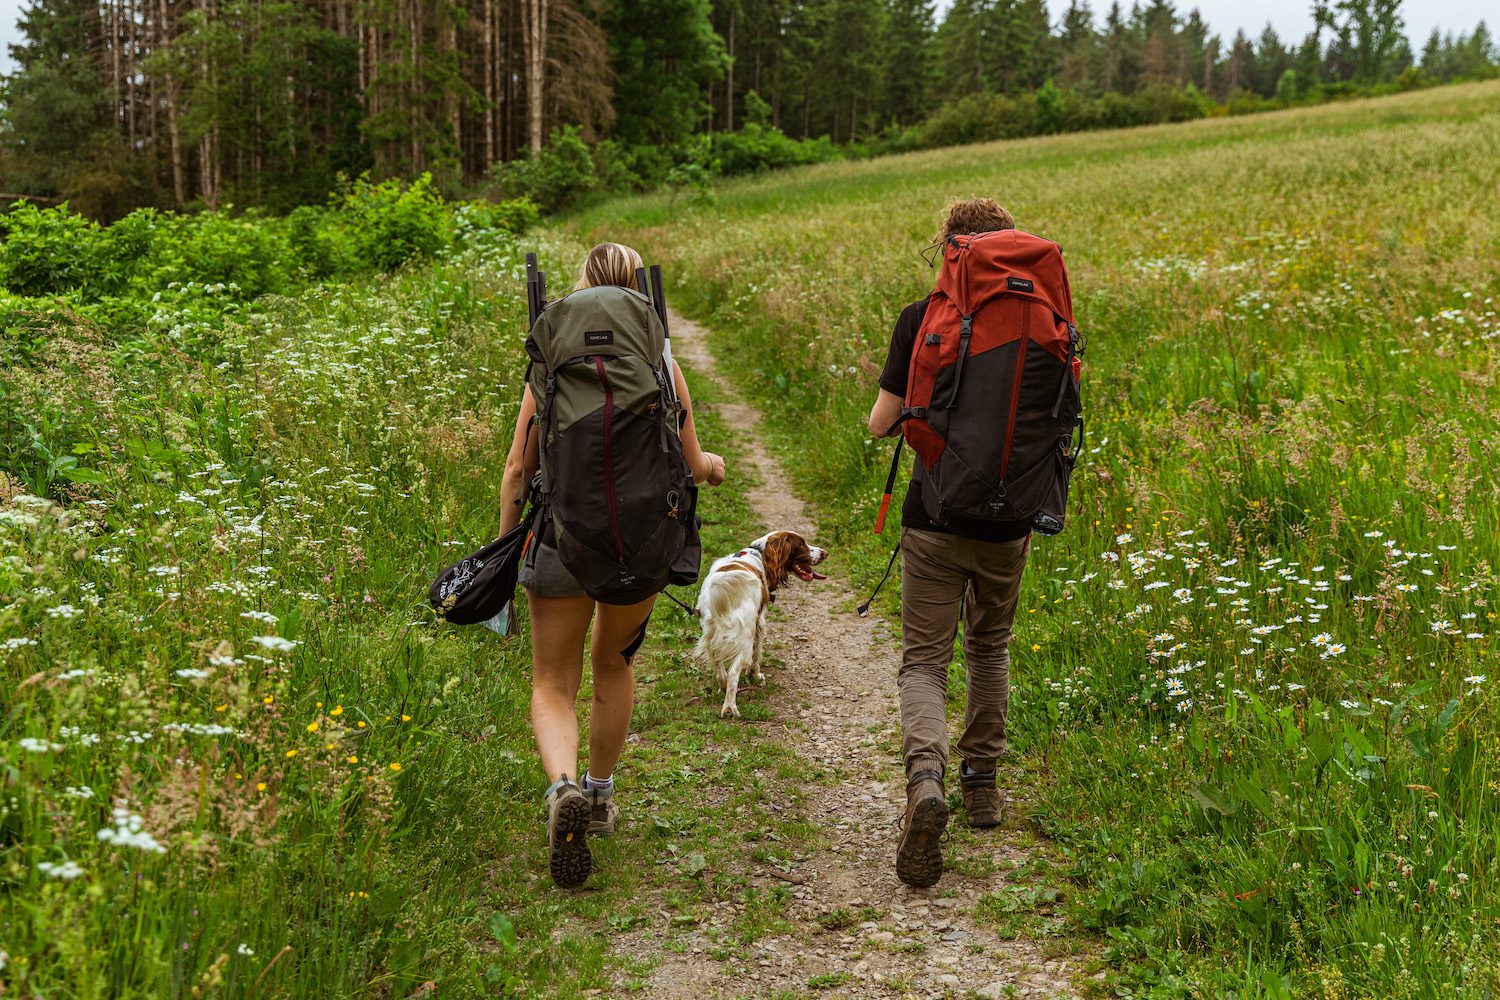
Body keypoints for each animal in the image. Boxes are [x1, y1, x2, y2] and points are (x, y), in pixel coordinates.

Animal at [693, 530, 828, 719]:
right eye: (801, 544)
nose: (825, 553)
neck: (759, 555)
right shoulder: (760, 623)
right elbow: (757, 656)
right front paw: (755, 676)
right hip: (745, 638)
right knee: (734, 672)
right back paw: (730, 708)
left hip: (711, 635)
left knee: (719, 666)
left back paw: (723, 687)